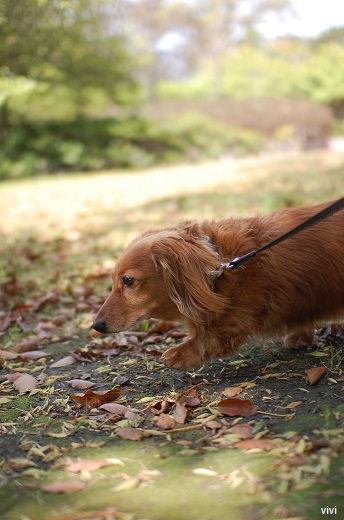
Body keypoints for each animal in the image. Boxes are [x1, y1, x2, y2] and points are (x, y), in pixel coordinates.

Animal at [93, 200, 344, 370]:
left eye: (128, 281)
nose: (96, 325)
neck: (221, 267)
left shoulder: (241, 313)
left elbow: (213, 333)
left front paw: (180, 354)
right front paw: (302, 335)